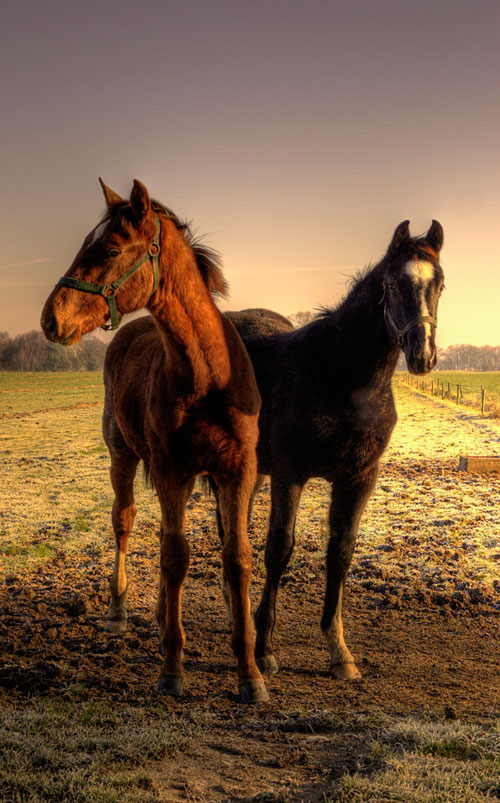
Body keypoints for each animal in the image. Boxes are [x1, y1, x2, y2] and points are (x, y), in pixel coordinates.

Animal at [42, 177, 270, 704]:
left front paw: (250, 671)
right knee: (125, 523)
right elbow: (173, 556)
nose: (50, 319)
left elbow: (235, 557)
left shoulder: (237, 472)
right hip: (122, 457)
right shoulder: (171, 470)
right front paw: (172, 668)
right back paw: (119, 610)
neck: (207, 375)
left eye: (108, 248)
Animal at [215, 218, 446, 680]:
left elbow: (341, 551)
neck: (340, 376)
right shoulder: (291, 473)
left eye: (441, 284)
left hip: (251, 471)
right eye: (392, 283)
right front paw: (264, 648)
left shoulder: (358, 478)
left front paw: (339, 652)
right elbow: (279, 549)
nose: (423, 355)